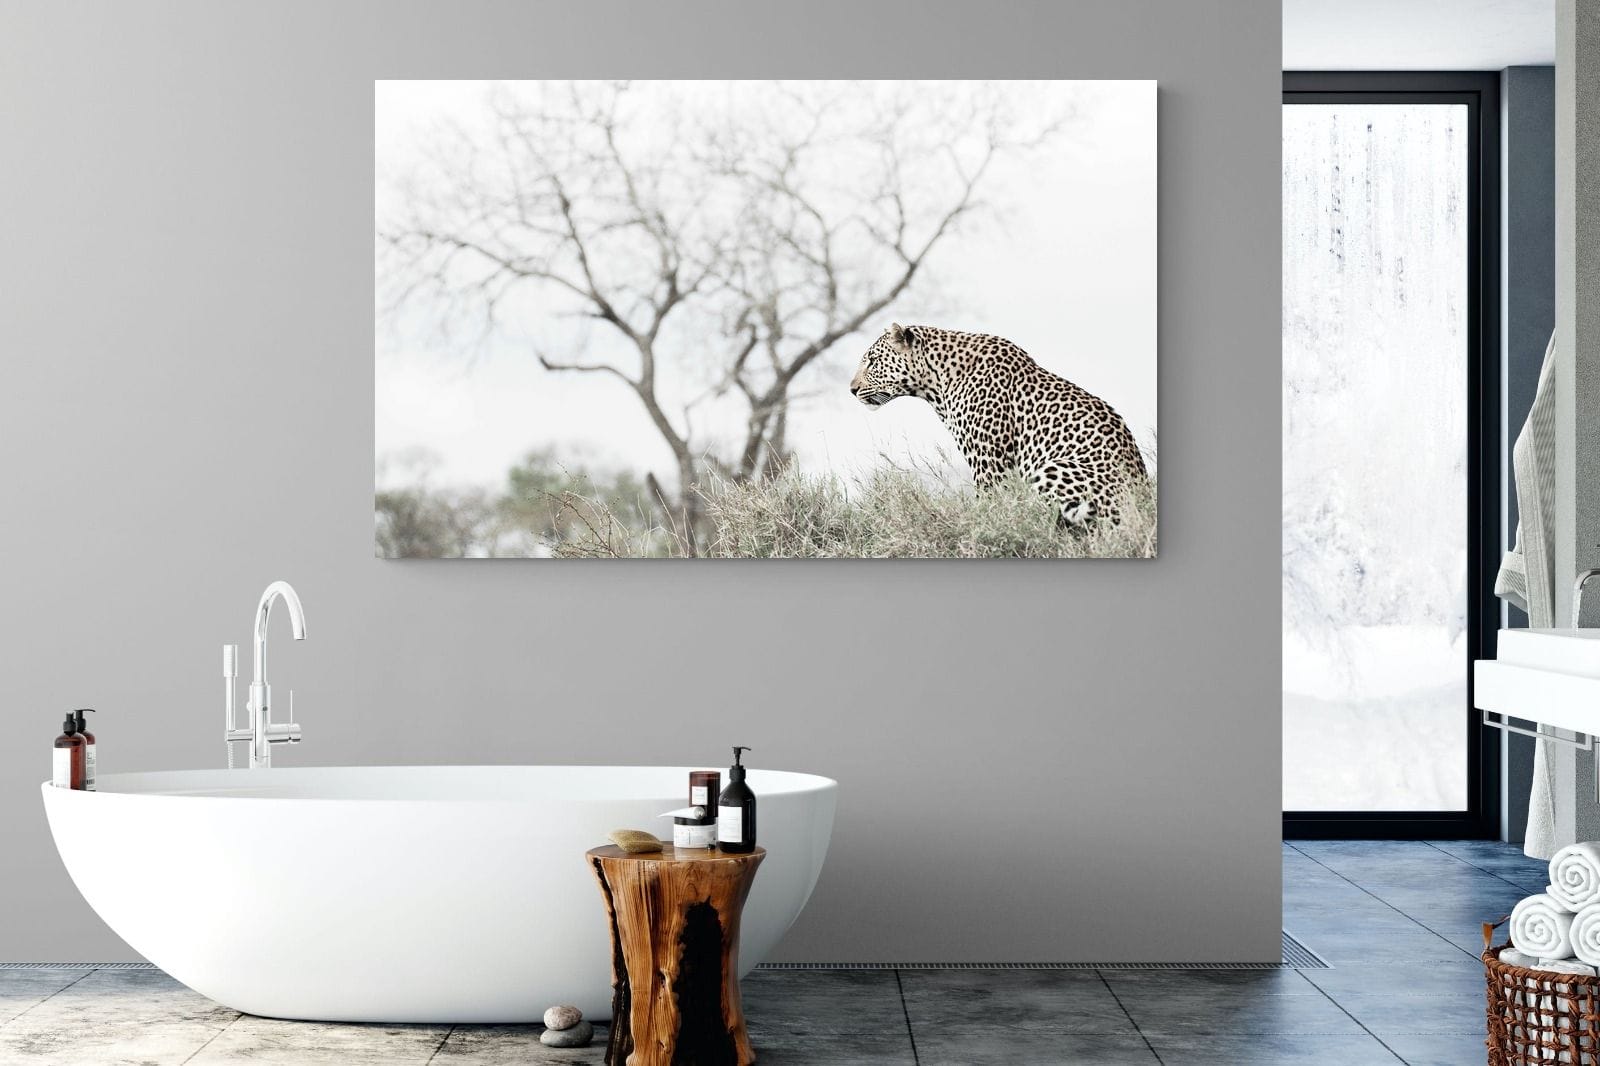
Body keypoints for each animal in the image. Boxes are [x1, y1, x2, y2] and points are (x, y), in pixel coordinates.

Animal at [848, 323, 1148, 526]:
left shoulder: (988, 461)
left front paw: (982, 527)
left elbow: (989, 504)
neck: (935, 382)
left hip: (1054, 468)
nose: (852, 390)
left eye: (873, 361)